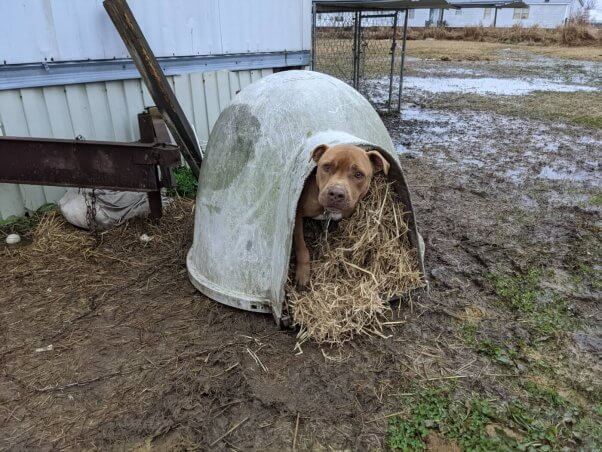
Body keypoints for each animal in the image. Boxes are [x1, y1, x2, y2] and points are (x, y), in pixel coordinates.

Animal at [292, 143, 390, 288]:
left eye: (359, 174)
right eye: (326, 167)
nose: (336, 193)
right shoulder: (297, 215)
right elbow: (301, 246)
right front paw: (303, 274)